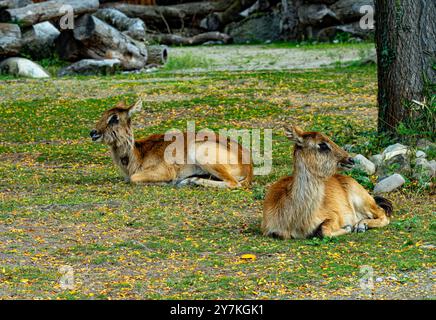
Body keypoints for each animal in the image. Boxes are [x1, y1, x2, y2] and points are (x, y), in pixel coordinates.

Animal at [90, 100, 254, 188]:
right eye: (103, 114)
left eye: (114, 118)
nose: (93, 132)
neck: (138, 154)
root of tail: (248, 167)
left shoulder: (162, 170)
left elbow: (134, 179)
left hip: (200, 152)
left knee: (234, 183)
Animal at [264, 125, 394, 238]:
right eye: (322, 144)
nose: (350, 159)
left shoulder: (333, 215)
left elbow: (323, 230)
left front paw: (348, 227)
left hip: (363, 201)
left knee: (382, 213)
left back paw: (361, 226)